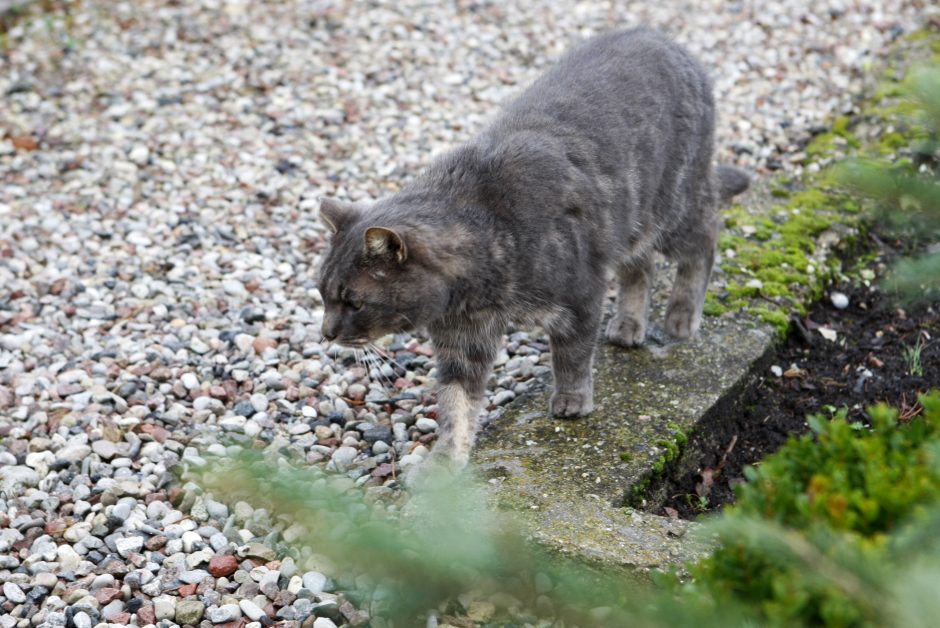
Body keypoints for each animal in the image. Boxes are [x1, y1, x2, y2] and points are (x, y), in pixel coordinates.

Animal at [316, 29, 748, 468]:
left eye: (354, 302)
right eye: (322, 294)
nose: (326, 332)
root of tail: (663, 36)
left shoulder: (580, 296)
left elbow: (572, 354)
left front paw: (572, 399)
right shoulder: (462, 340)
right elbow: (456, 404)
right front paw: (445, 463)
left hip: (673, 209)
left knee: (705, 241)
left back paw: (682, 316)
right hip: (631, 225)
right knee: (641, 268)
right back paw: (629, 324)